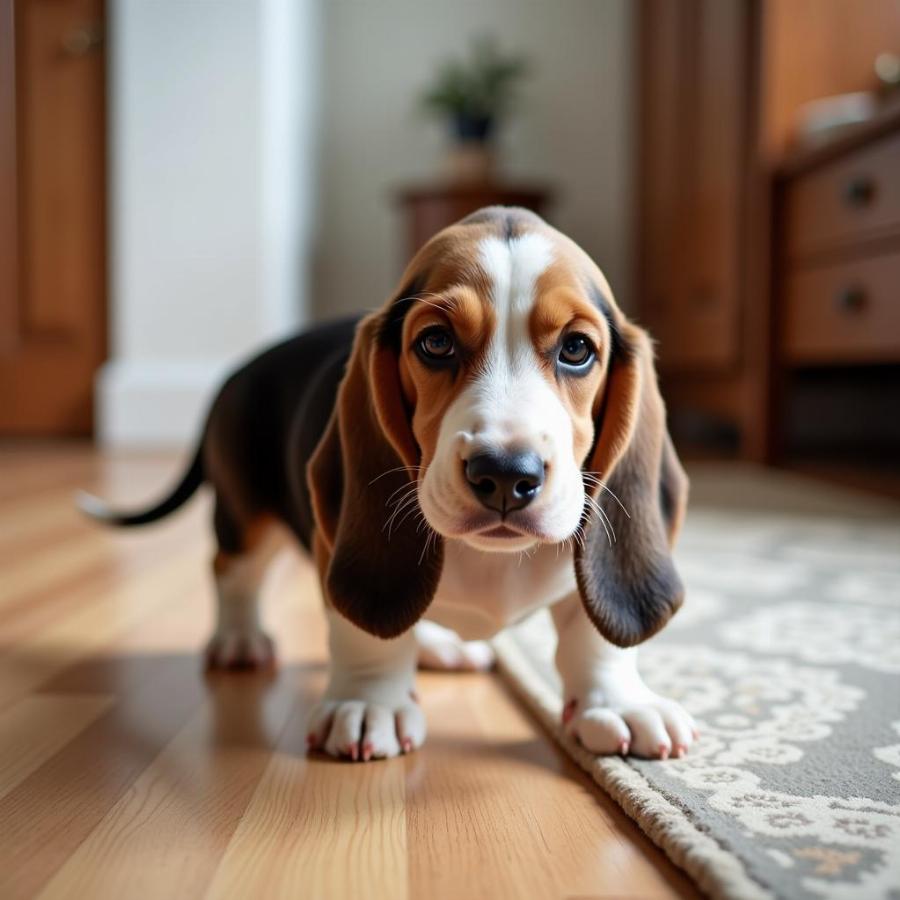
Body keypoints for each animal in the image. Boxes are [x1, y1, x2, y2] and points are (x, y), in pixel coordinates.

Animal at [81, 207, 696, 764]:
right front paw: (367, 703)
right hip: (245, 512)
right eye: (436, 343)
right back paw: (239, 640)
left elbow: (594, 634)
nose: (504, 473)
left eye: (576, 350)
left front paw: (618, 704)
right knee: (231, 570)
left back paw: (442, 646)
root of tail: (238, 370)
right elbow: (364, 630)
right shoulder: (333, 547)